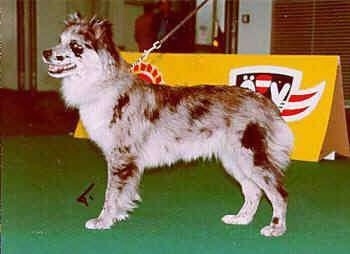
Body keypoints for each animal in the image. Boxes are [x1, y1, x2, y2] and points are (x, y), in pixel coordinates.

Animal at [42, 13, 294, 236]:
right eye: (59, 40)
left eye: (75, 45)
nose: (46, 53)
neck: (105, 85)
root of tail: (265, 102)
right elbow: (122, 193)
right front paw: (117, 216)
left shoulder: (122, 156)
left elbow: (111, 194)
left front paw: (103, 220)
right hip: (234, 160)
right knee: (254, 191)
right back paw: (241, 219)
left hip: (250, 157)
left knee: (278, 192)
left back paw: (276, 228)